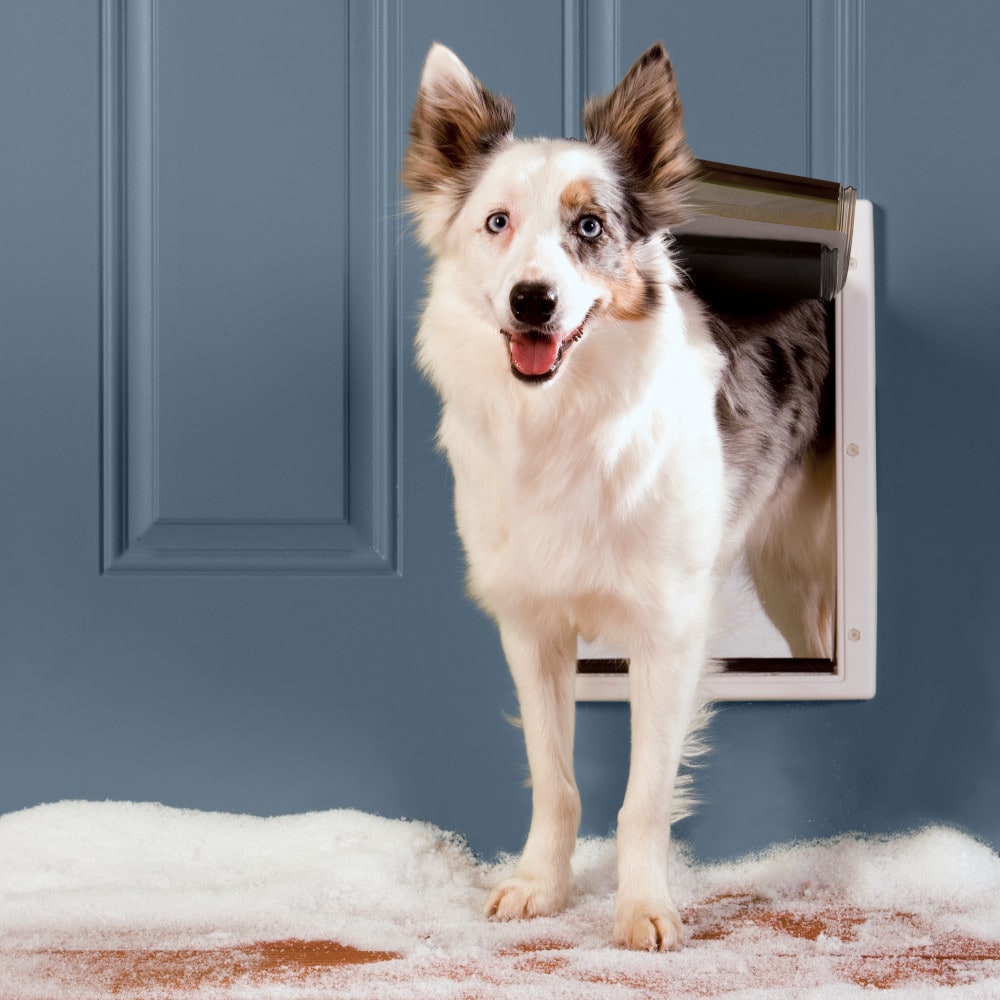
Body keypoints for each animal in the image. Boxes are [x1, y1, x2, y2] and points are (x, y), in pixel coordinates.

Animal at [402, 39, 832, 948]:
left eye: (590, 227)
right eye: (497, 223)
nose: (533, 300)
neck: (564, 421)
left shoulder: (668, 629)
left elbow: (644, 797)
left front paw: (643, 907)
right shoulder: (531, 626)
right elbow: (554, 776)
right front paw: (541, 886)